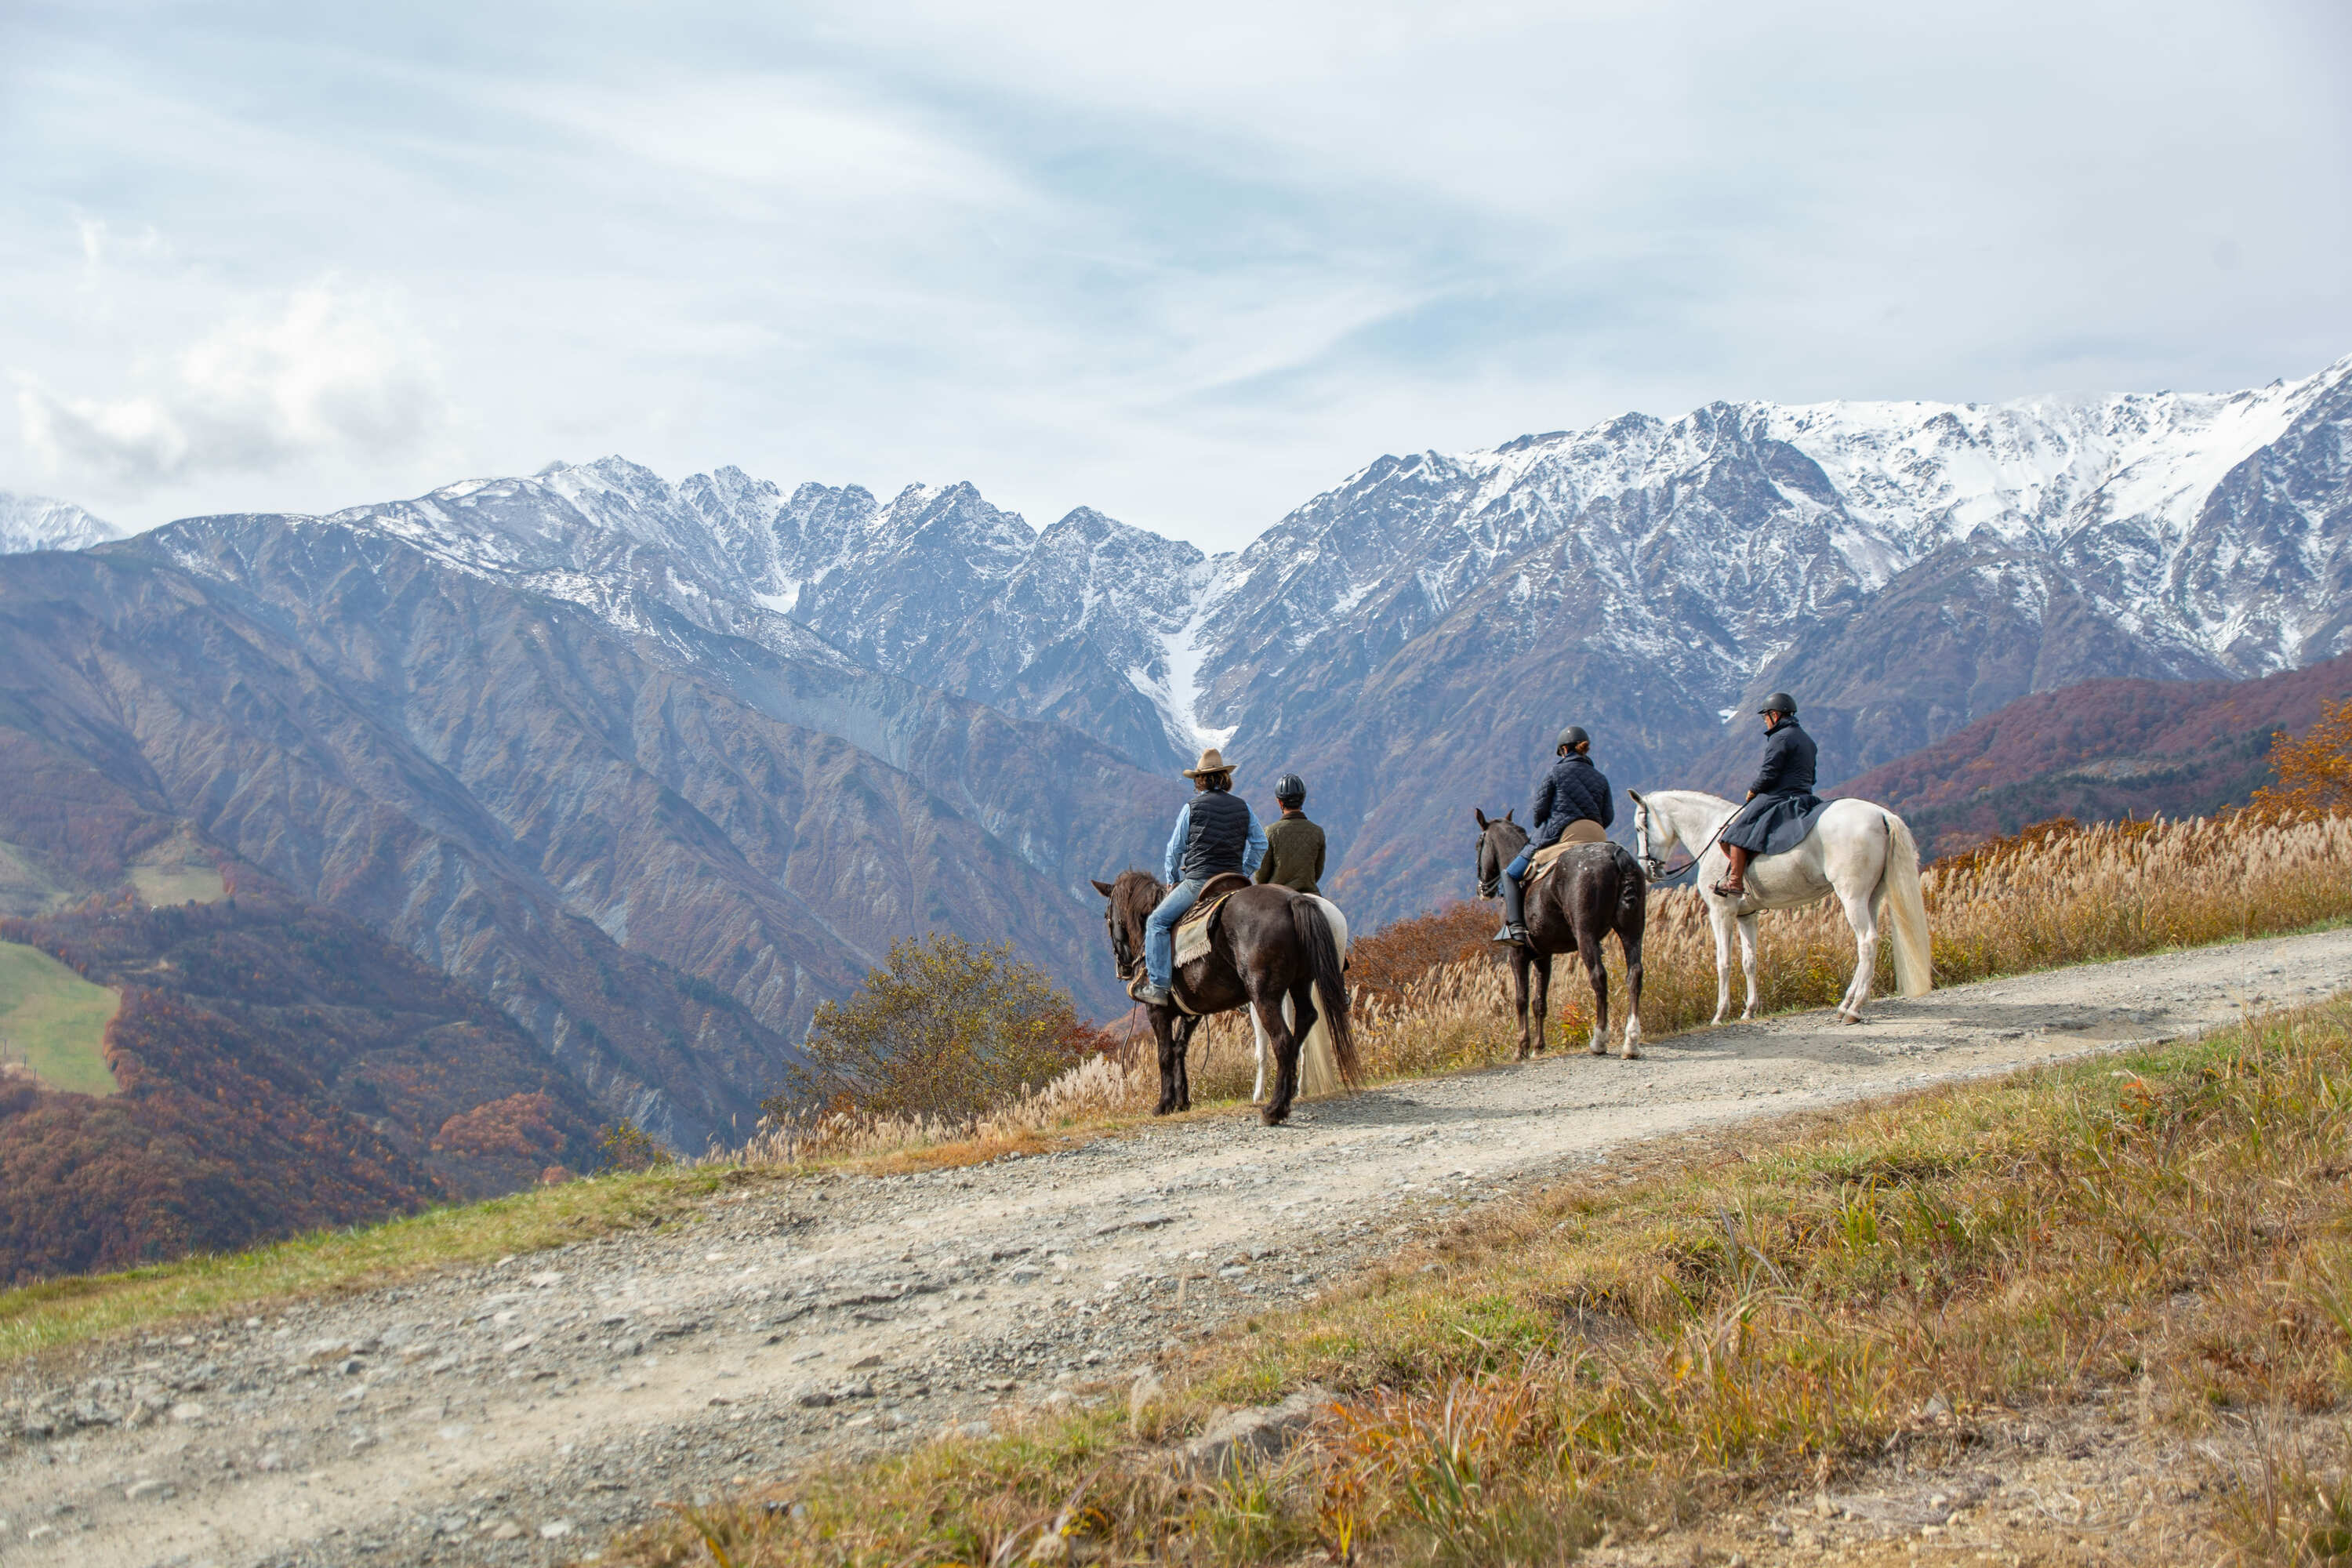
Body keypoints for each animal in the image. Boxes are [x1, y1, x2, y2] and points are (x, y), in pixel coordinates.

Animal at [1468, 818, 1656, 1062]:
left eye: (1478, 845)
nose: (1482, 889)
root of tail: (1617, 856)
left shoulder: (1517, 954)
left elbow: (1521, 999)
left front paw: (1521, 1048)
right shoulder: (1543, 956)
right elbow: (1540, 1002)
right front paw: (1538, 1047)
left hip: (1586, 935)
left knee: (1599, 977)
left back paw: (1599, 1040)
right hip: (1632, 930)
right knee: (1635, 974)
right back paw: (1631, 1042)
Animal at [1628, 789, 1938, 1025]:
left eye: (1641, 828)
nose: (1649, 871)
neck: (1709, 832)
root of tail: (1881, 815)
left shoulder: (1721, 911)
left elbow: (1723, 962)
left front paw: (1720, 1014)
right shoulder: (1747, 916)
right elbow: (1749, 961)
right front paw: (1749, 1010)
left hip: (1852, 895)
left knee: (1867, 941)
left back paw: (1852, 1008)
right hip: (1872, 896)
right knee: (1869, 943)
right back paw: (1849, 1003)